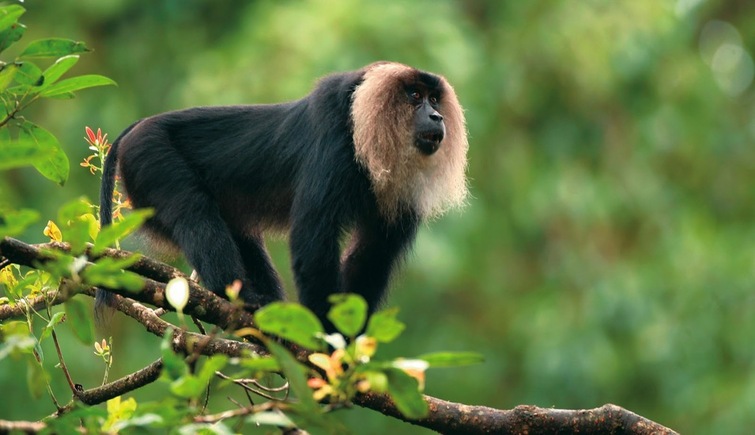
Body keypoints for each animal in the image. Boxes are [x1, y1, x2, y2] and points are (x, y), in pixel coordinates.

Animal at [98, 62, 470, 324]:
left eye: (434, 99)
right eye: (415, 96)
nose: (436, 116)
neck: (363, 131)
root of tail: (138, 127)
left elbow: (372, 254)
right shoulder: (334, 143)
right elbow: (313, 247)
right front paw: (326, 341)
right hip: (151, 156)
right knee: (193, 212)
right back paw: (239, 296)